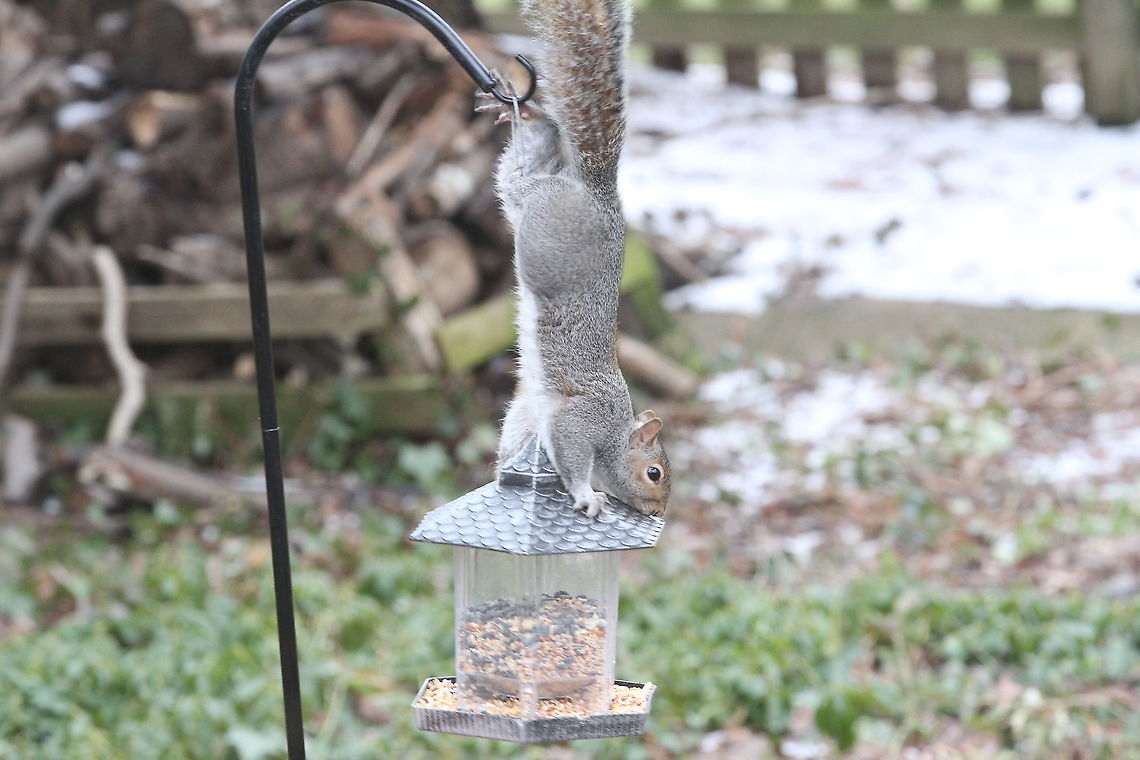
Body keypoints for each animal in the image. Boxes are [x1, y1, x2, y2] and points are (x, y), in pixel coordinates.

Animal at [481, 0, 671, 518]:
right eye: (654, 473)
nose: (659, 512)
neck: (617, 430)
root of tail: (601, 193)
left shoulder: (535, 411)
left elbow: (522, 432)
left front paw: (504, 465)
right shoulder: (584, 420)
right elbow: (570, 453)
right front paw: (588, 494)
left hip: (527, 192)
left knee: (518, 172)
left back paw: (521, 113)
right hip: (548, 226)